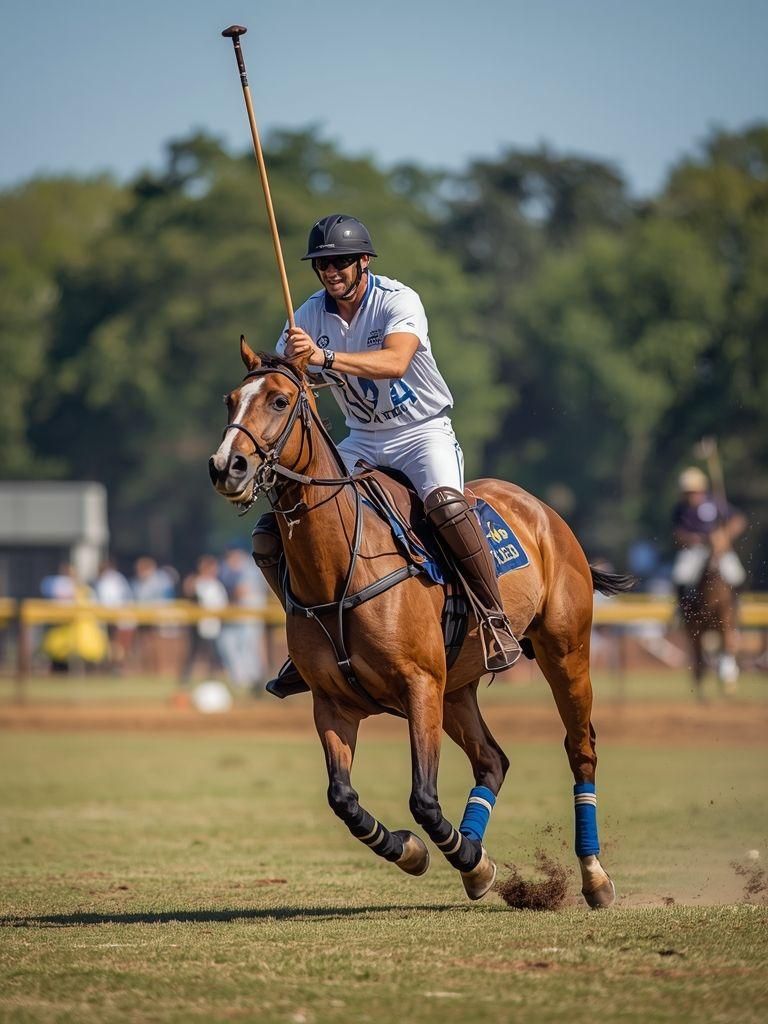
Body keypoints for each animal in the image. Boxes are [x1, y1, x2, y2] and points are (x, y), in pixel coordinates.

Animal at [208, 340, 633, 907]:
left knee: (580, 748)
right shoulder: (334, 703)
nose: (226, 466)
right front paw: (427, 853)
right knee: (492, 759)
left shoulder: (419, 685)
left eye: (279, 400)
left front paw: (459, 855)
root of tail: (544, 510)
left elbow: (424, 798)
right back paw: (475, 860)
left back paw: (593, 876)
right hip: (457, 687)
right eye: (232, 399)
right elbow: (342, 798)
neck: (339, 567)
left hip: (565, 650)